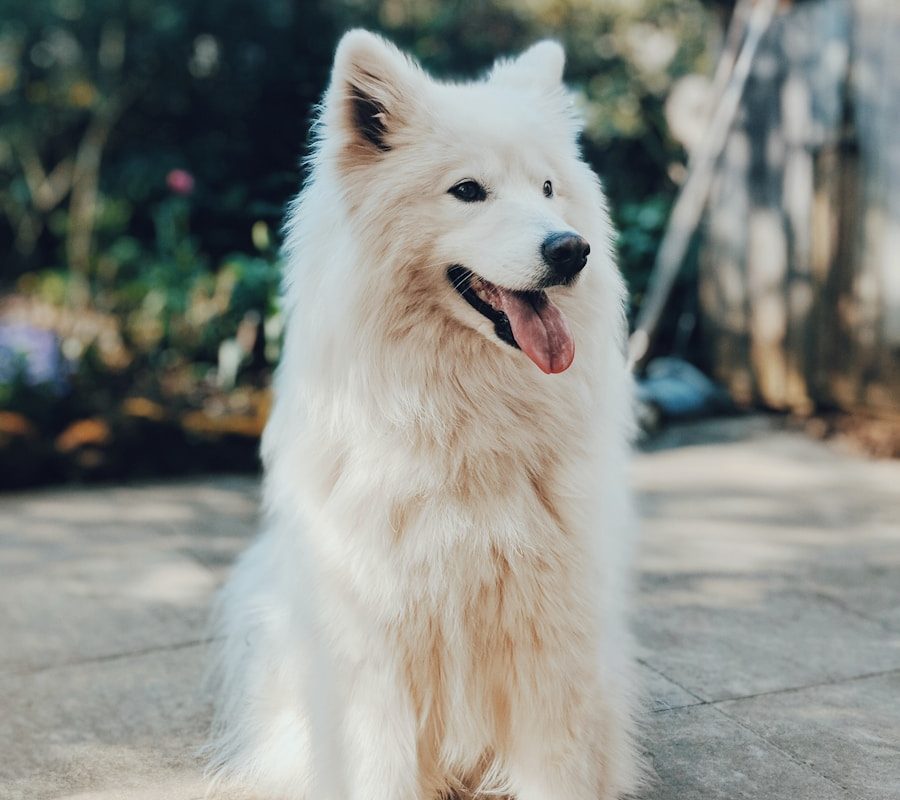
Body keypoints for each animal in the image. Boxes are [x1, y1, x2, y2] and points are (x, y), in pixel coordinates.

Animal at [206, 29, 640, 800]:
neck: (464, 420)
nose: (571, 249)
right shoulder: (376, 649)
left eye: (548, 188)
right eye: (468, 191)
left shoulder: (551, 638)